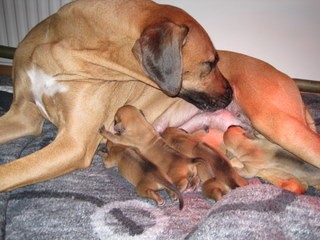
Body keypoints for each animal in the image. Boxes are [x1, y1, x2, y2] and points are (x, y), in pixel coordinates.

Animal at [0, 0, 320, 192]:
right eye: (210, 64)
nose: (231, 93)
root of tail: (289, 81)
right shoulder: (21, 117)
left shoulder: (73, 144)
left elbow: (10, 171)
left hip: (278, 124)